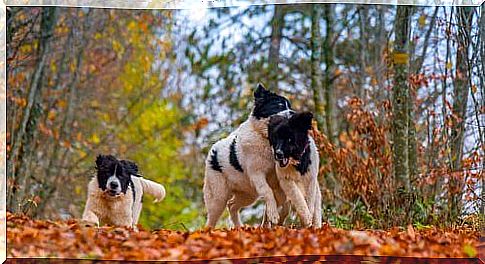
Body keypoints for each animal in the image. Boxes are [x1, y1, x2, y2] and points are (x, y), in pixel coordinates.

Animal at [203, 83, 294, 227]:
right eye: (279, 105)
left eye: (290, 106)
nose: (294, 113)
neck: (266, 139)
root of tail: (213, 150)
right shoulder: (257, 174)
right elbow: (268, 192)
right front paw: (274, 216)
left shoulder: (277, 181)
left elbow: (285, 204)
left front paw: (277, 220)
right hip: (218, 197)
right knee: (212, 218)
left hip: (247, 194)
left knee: (232, 205)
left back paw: (239, 227)